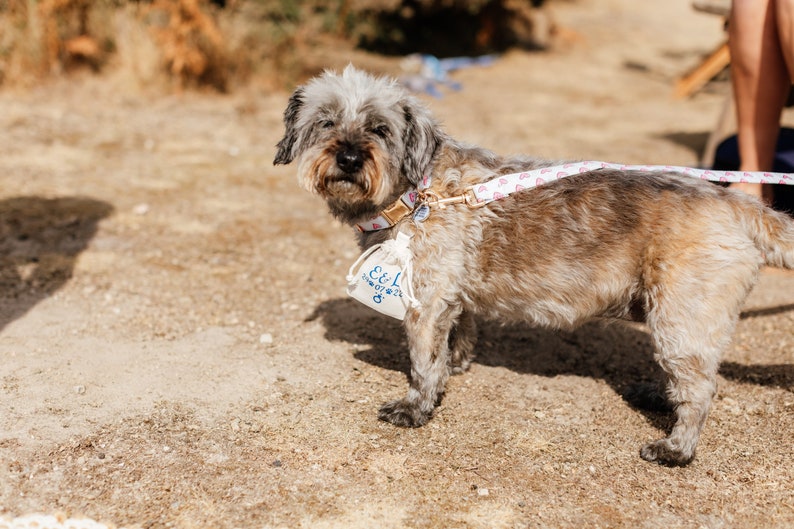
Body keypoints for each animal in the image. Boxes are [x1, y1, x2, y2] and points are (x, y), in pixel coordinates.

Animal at [274, 65, 792, 462]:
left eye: (380, 129)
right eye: (325, 122)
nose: (348, 157)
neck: (417, 193)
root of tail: (742, 207)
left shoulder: (425, 304)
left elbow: (422, 363)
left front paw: (416, 407)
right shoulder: (453, 298)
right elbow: (459, 337)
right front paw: (454, 369)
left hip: (680, 322)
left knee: (700, 391)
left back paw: (676, 449)